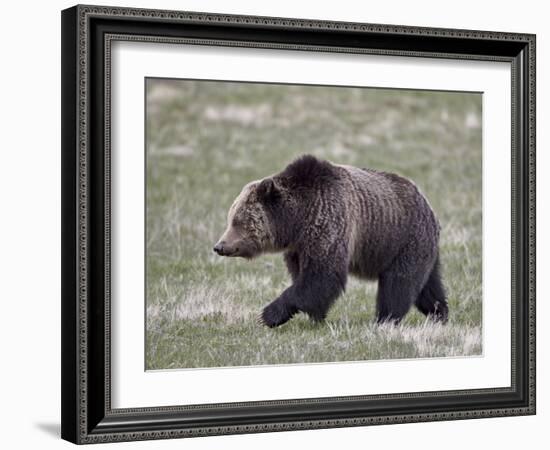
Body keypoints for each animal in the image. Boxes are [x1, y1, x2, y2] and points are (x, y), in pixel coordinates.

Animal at [215, 155, 448, 326]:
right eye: (230, 218)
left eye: (238, 221)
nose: (219, 246)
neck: (297, 221)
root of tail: (429, 207)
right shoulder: (299, 247)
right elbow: (305, 277)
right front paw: (316, 316)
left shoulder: (329, 223)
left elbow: (321, 276)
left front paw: (269, 314)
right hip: (419, 248)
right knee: (429, 286)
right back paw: (440, 314)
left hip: (403, 240)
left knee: (398, 284)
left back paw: (385, 319)